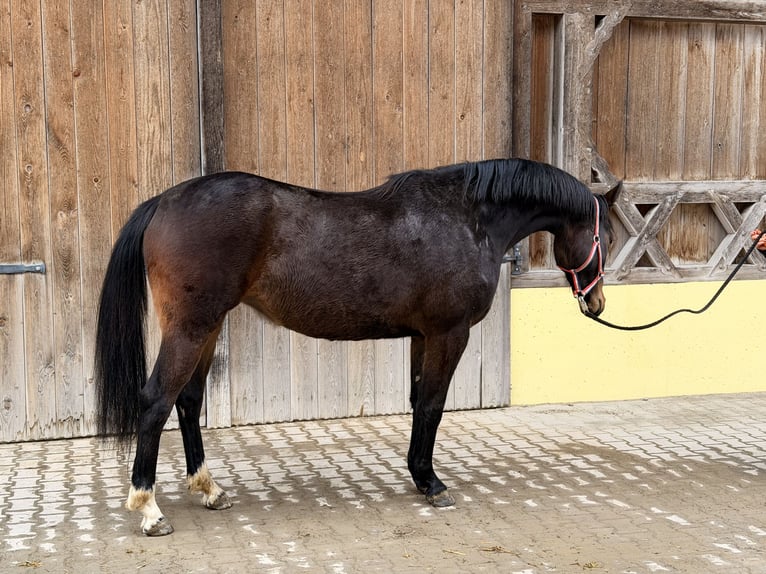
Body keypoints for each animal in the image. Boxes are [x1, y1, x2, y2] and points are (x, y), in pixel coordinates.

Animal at [94, 158, 620, 536]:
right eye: (606, 235)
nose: (597, 302)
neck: (466, 218)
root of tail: (164, 201)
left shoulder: (422, 336)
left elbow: (418, 402)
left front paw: (418, 475)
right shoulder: (449, 333)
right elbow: (433, 405)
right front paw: (432, 483)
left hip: (207, 326)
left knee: (187, 400)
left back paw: (208, 489)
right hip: (191, 326)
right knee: (156, 402)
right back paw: (149, 509)